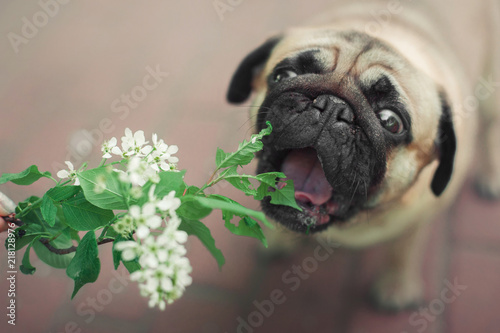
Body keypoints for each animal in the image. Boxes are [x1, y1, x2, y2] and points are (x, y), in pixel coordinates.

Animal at [226, 0, 500, 310]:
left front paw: (396, 284)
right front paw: (280, 239)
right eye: (284, 76)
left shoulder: (419, 219)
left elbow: (403, 248)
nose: (331, 106)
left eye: (391, 121)